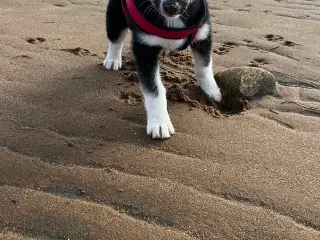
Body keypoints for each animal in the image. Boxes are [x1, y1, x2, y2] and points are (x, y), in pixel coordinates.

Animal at [104, 0, 221, 139]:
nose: (171, 7)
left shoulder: (203, 34)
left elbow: (204, 67)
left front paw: (211, 90)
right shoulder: (145, 48)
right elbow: (154, 88)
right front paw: (159, 122)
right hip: (117, 14)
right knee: (116, 38)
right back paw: (113, 59)